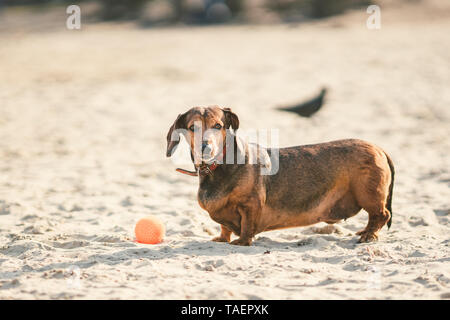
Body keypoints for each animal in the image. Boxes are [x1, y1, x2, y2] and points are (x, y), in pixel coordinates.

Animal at [165, 106, 394, 246]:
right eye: (192, 127)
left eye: (218, 126)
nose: (205, 147)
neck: (216, 168)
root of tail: (379, 148)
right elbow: (224, 227)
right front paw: (222, 238)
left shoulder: (251, 204)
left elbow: (247, 225)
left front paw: (242, 241)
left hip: (368, 194)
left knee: (382, 215)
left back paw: (368, 235)